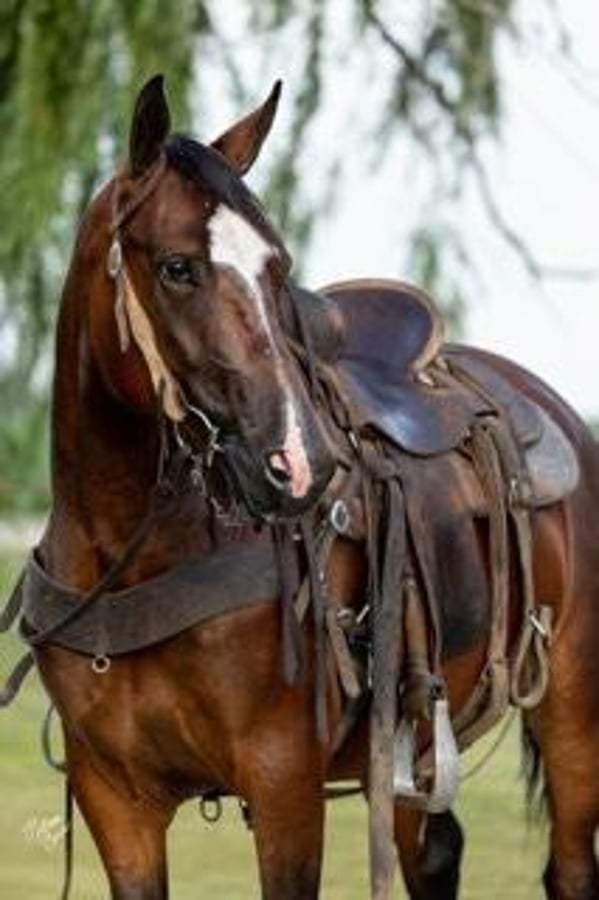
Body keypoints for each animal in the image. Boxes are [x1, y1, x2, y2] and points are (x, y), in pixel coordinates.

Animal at [11, 74, 599, 900]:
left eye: (276, 267)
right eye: (177, 267)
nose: (298, 462)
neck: (128, 554)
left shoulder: (283, 784)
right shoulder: (114, 800)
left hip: (572, 712)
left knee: (570, 865)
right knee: (432, 852)